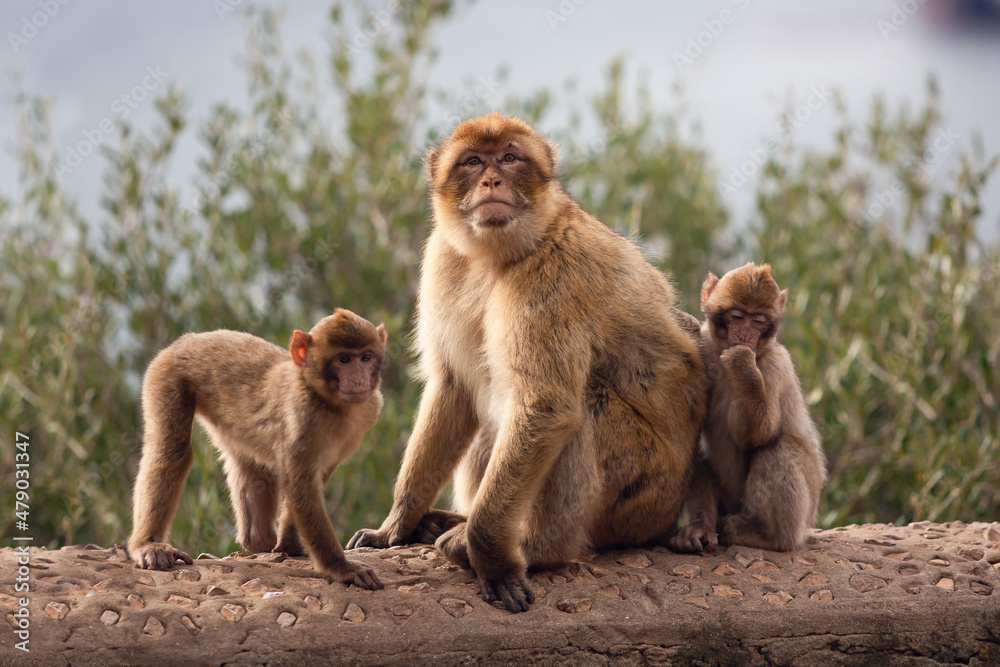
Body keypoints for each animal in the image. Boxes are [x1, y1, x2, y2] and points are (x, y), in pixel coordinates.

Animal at [127, 309, 386, 590]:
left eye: (366, 357)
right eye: (344, 359)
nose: (359, 379)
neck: (327, 400)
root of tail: (189, 339)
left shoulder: (369, 412)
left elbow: (313, 477)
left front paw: (290, 544)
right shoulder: (302, 418)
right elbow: (300, 485)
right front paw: (339, 567)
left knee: (252, 468)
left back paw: (256, 540)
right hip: (168, 374)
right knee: (171, 450)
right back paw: (148, 544)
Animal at [347, 112, 707, 612]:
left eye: (510, 157)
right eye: (473, 161)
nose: (492, 179)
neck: (497, 257)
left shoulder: (553, 276)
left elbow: (545, 408)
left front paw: (491, 555)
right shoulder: (443, 259)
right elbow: (453, 388)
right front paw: (396, 525)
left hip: (643, 499)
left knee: (581, 405)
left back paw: (536, 549)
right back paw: (446, 522)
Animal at [670, 263, 827, 554]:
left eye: (759, 321)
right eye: (737, 315)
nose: (745, 336)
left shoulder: (776, 365)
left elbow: (756, 435)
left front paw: (743, 364)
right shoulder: (701, 345)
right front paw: (682, 320)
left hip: (806, 508)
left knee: (777, 449)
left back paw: (769, 536)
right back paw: (701, 527)